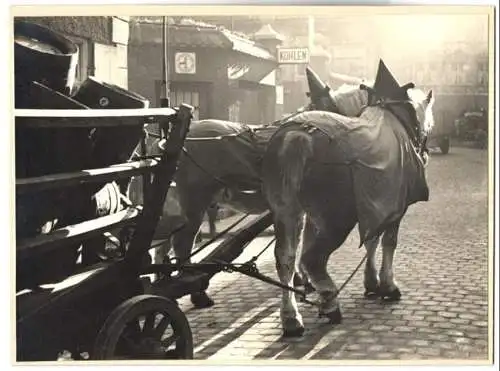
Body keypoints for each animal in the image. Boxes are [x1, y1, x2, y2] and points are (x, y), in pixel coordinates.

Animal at [154, 83, 374, 310]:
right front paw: (303, 280)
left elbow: (300, 242)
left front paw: (302, 279)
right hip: (195, 200)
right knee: (182, 243)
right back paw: (196, 292)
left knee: (164, 243)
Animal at [262, 83, 434, 338]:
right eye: (428, 124)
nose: (426, 151)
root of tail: (297, 137)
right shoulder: (395, 210)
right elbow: (388, 242)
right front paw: (388, 285)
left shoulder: (373, 208)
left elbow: (372, 240)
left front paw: (371, 282)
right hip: (337, 221)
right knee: (313, 259)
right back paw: (330, 303)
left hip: (287, 213)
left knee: (286, 259)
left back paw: (291, 318)